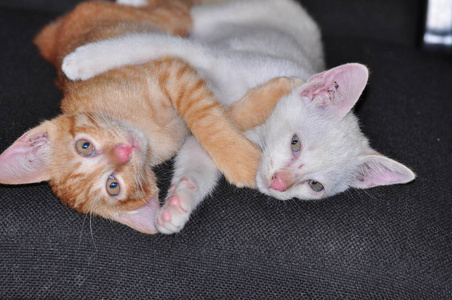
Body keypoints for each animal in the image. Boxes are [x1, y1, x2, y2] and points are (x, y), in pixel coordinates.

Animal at [0, 0, 296, 233]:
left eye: (84, 146)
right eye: (113, 186)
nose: (125, 150)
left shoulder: (173, 72)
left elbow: (207, 120)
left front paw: (240, 159)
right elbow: (223, 112)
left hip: (170, 20)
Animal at [61, 0, 414, 234]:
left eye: (315, 185)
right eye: (295, 143)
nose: (279, 184)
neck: (260, 131)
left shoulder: (208, 136)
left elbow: (200, 160)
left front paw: (177, 206)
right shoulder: (212, 57)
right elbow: (147, 45)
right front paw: (84, 61)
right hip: (214, 17)